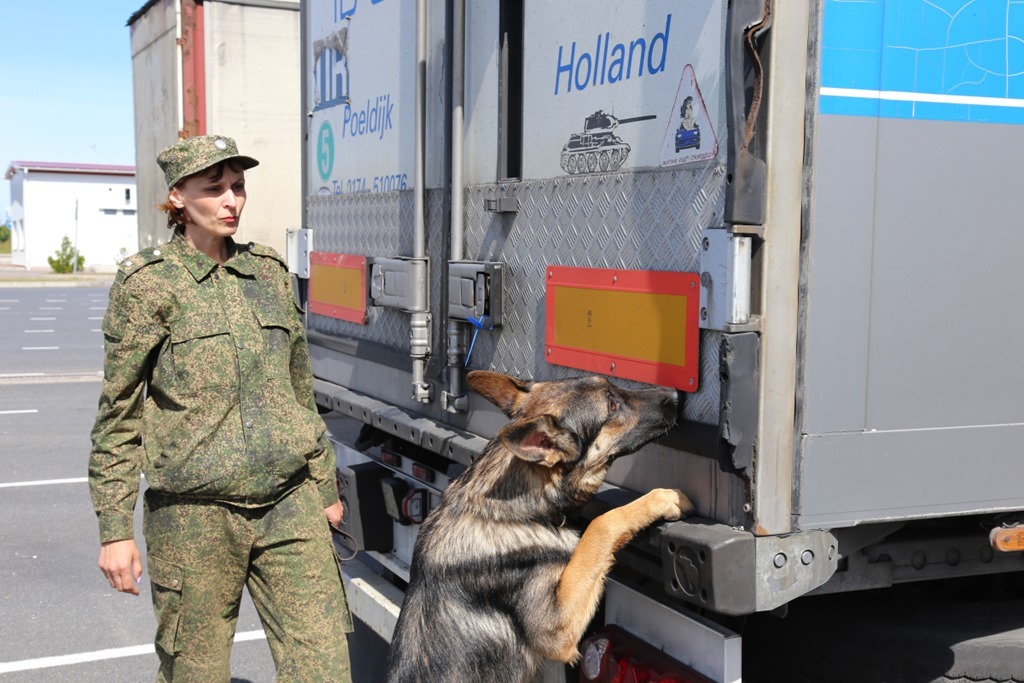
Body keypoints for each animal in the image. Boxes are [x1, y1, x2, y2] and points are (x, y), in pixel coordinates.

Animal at [385, 370, 696, 679]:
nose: (676, 395)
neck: (514, 506)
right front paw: (664, 498)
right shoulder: (557, 630)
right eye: (611, 406)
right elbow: (602, 523)